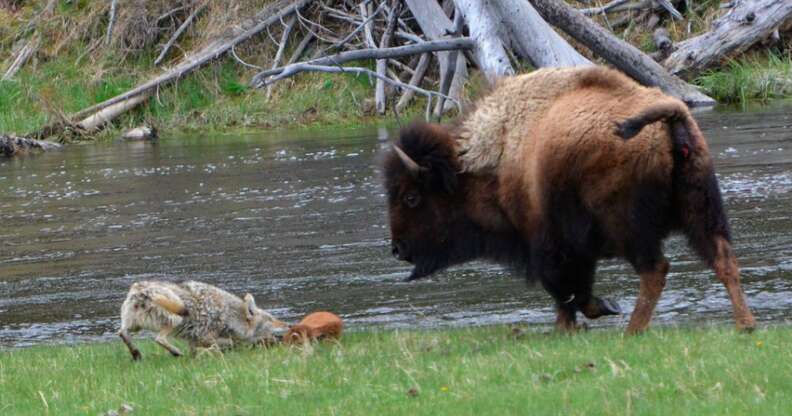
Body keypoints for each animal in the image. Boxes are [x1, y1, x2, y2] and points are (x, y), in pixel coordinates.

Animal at [384, 67, 756, 334]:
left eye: (411, 197)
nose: (397, 249)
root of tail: (672, 117)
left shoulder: (548, 246)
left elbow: (565, 292)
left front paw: (578, 321)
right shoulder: (576, 251)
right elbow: (577, 291)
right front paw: (595, 312)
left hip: (631, 229)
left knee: (655, 271)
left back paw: (632, 332)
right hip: (701, 211)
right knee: (723, 260)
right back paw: (746, 325)